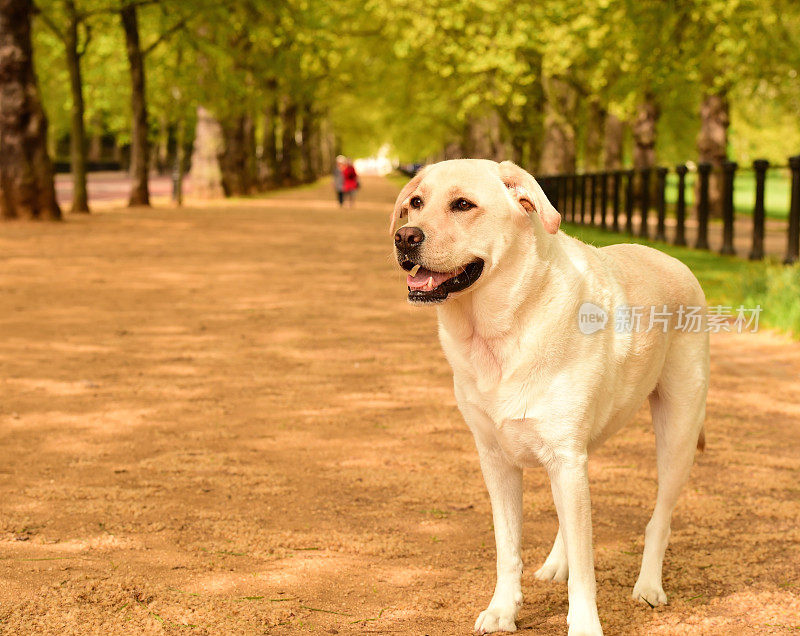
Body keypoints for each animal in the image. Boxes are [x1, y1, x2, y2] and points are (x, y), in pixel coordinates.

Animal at [390, 157, 708, 632]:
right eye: (414, 203)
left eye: (463, 204)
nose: (405, 237)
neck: (500, 331)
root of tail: (676, 262)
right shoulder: (497, 460)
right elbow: (508, 549)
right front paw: (503, 610)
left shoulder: (565, 457)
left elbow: (586, 566)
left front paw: (585, 625)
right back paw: (558, 563)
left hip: (678, 435)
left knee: (660, 520)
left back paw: (649, 586)